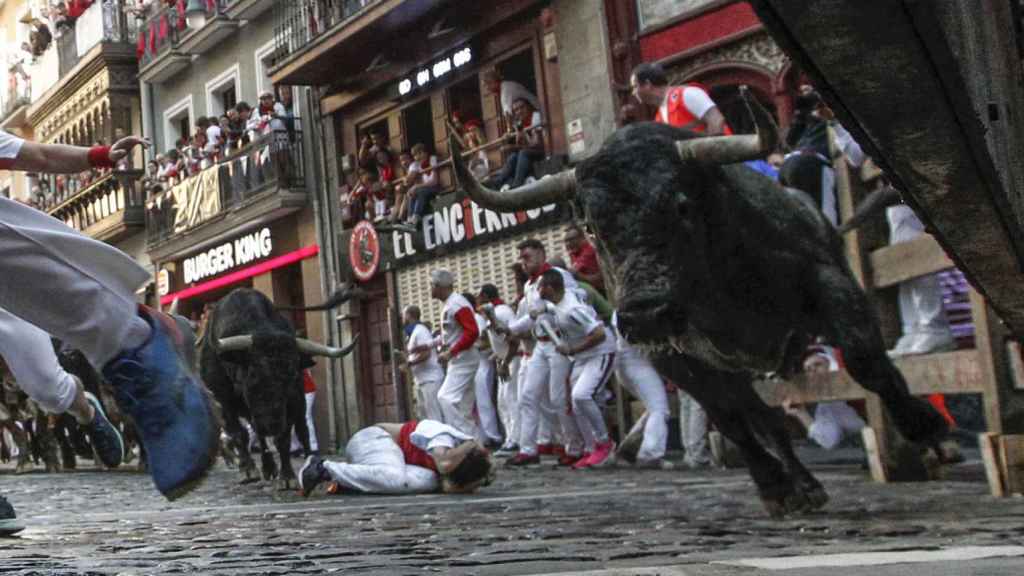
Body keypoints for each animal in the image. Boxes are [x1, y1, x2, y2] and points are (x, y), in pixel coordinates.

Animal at [198, 284, 360, 485]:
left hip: (299, 404)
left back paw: (308, 459)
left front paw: (287, 476)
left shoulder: (291, 401)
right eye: (253, 373)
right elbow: (240, 433)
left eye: (292, 374)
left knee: (302, 430)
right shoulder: (224, 401)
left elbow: (283, 438)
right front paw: (249, 469)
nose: (271, 425)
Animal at [450, 90, 950, 516]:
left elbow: (866, 359)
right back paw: (802, 485)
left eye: (682, 204)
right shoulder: (676, 357)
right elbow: (728, 418)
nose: (646, 314)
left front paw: (928, 432)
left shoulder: (828, 281)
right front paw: (776, 487)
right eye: (591, 223)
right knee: (763, 416)